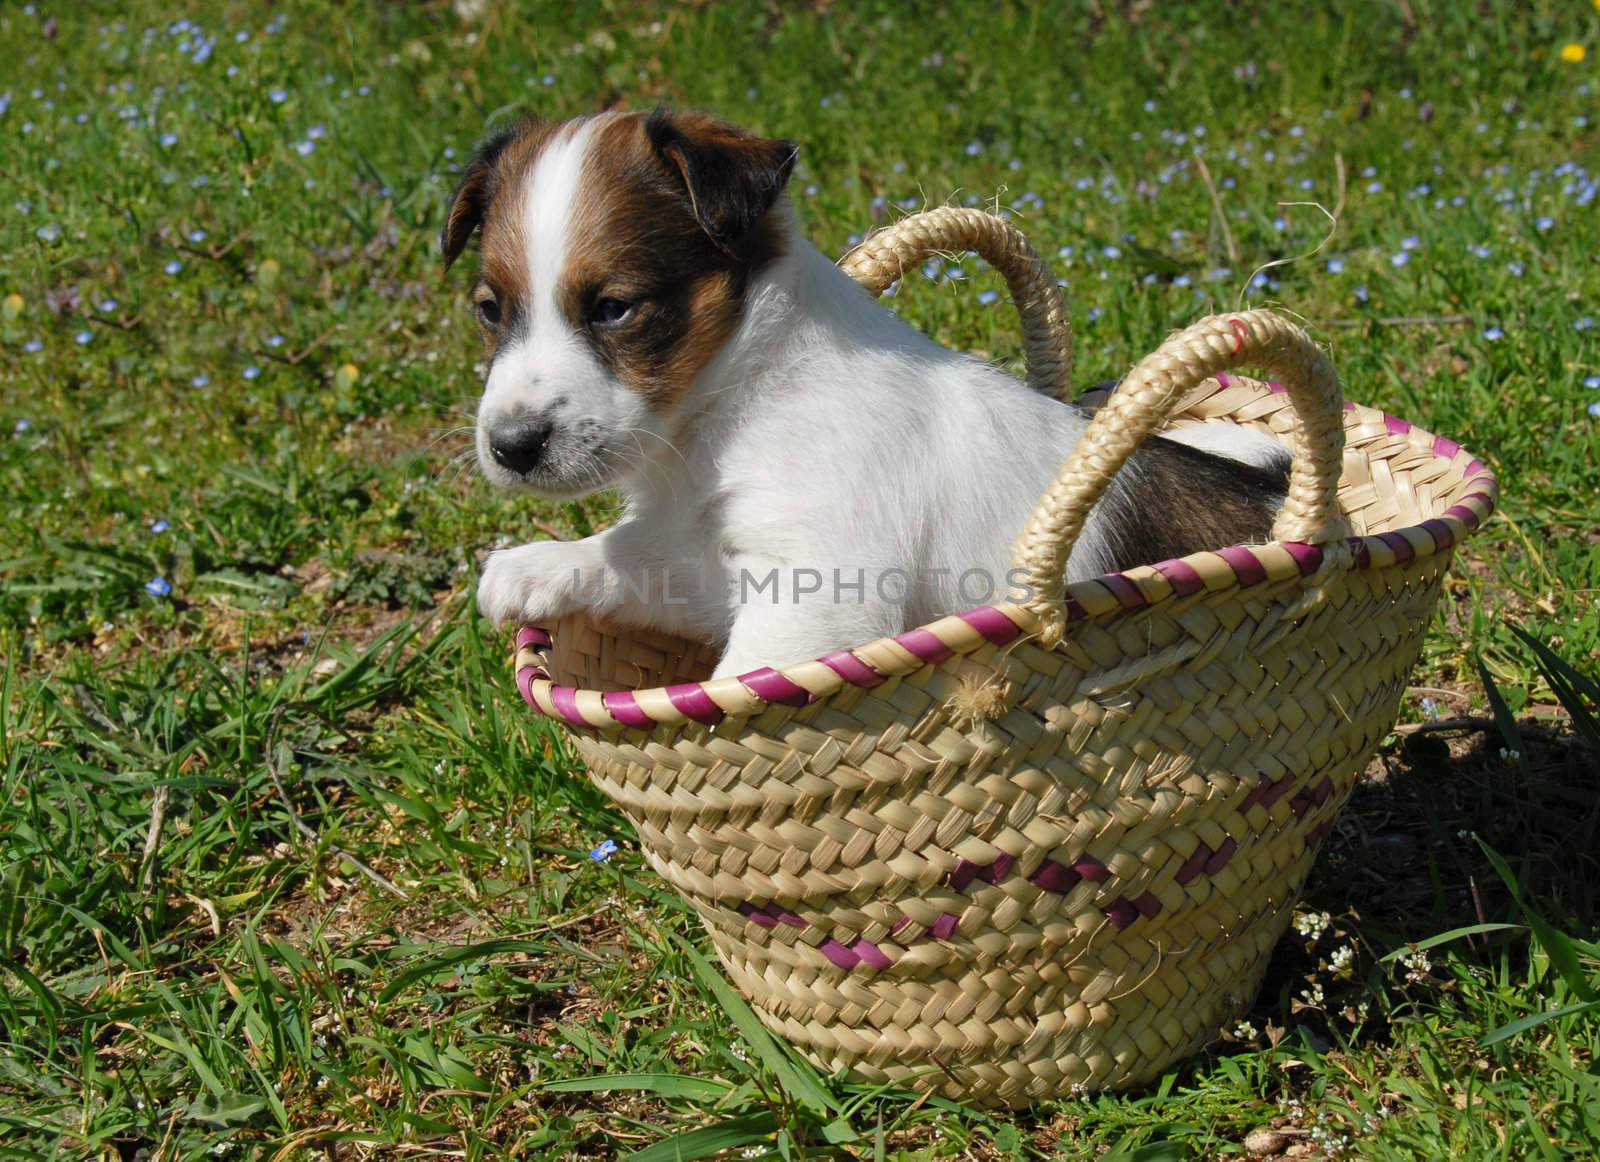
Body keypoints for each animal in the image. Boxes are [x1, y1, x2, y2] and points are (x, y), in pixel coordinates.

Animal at [441, 113, 1286, 678]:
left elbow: (738, 683)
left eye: (614, 308)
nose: (510, 449)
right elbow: (632, 553)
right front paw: (533, 568)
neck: (728, 405)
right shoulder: (710, 559)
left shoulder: (814, 589)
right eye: (488, 310)